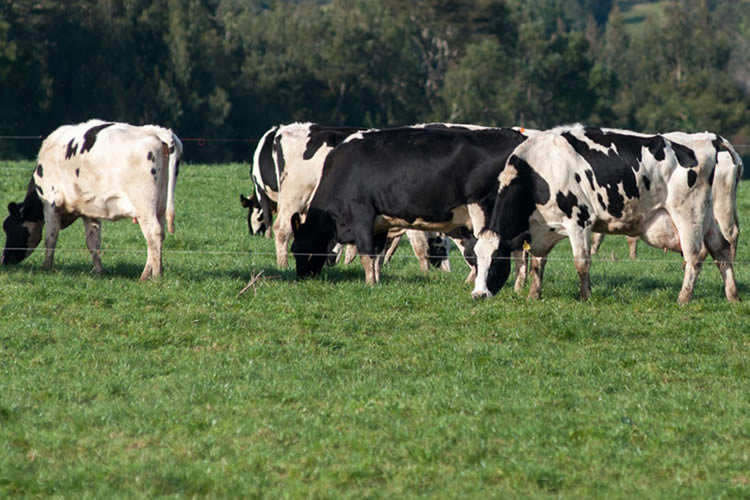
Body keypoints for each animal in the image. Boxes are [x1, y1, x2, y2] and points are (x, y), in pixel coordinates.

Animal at [1, 118, 183, 280]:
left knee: (153, 233)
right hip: (160, 206)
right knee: (158, 236)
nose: (4, 260)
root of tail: (157, 131)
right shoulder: (89, 210)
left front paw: (46, 268)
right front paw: (99, 271)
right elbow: (92, 242)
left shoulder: (51, 204)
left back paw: (153, 276)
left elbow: (50, 238)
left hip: (144, 206)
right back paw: (152, 272)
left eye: (9, 228)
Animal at [290, 125, 532, 286]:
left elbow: (366, 252)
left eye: (297, 249)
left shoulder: (361, 213)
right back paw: (517, 286)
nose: (302, 279)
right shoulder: (379, 222)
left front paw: (370, 284)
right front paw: (377, 281)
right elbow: (377, 254)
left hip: (484, 209)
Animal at [472, 125, 744, 304]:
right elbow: (539, 263)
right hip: (709, 217)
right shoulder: (541, 229)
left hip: (689, 214)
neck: (539, 170)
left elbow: (581, 262)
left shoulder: (579, 220)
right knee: (721, 251)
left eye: (497, 260)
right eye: (475, 260)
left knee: (695, 257)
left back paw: (683, 298)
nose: (478, 294)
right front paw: (533, 295)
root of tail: (708, 137)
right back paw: (732, 296)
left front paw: (586, 296)